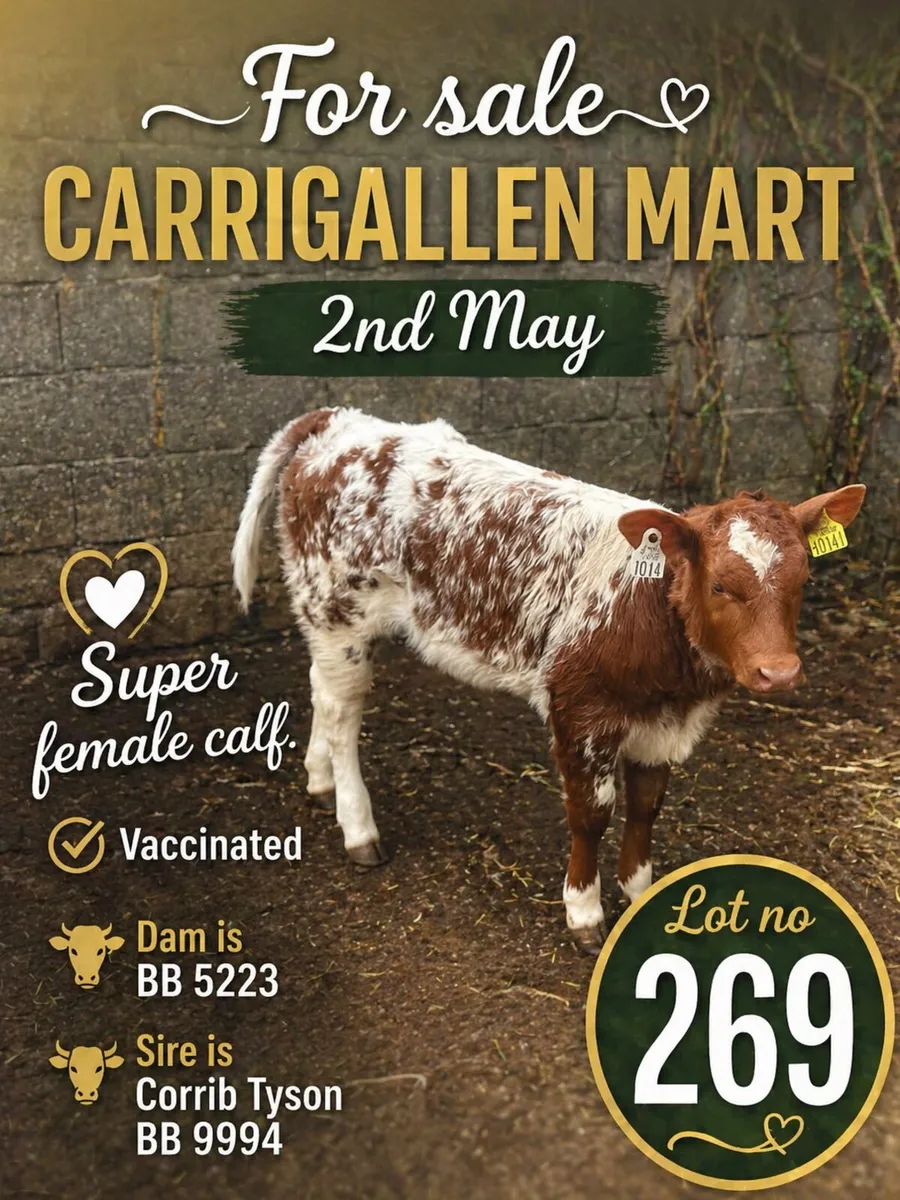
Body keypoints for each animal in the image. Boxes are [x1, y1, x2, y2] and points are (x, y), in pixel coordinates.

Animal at [232, 407, 865, 952]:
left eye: (804, 580)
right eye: (719, 585)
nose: (778, 671)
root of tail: (340, 421)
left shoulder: (663, 723)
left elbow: (646, 806)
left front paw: (639, 893)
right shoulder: (579, 708)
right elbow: (592, 813)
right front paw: (584, 912)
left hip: (328, 621)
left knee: (322, 690)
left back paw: (319, 783)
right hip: (339, 611)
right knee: (343, 715)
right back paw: (358, 828)